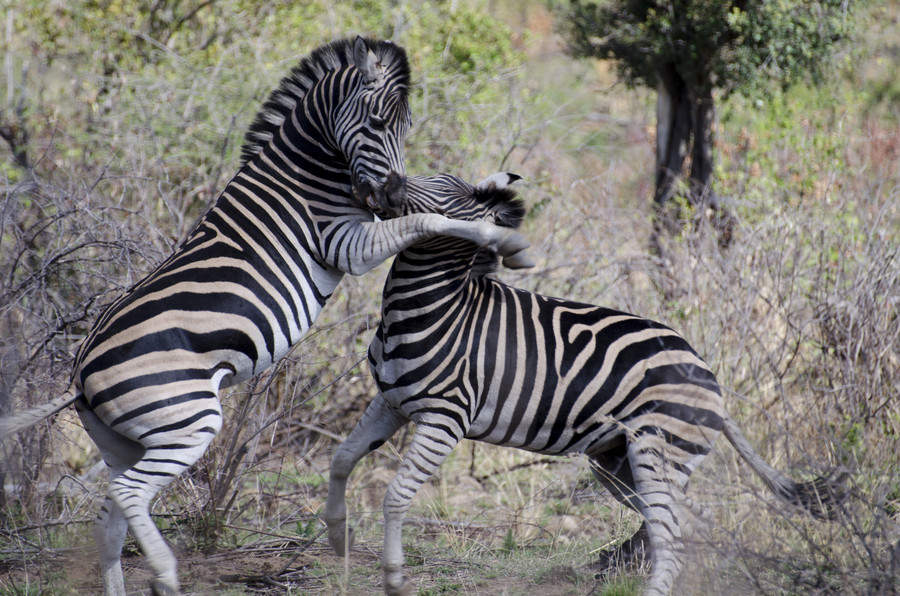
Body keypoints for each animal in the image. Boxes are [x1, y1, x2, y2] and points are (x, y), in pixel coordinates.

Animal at [0, 38, 536, 596]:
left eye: (404, 125)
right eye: (374, 121)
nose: (388, 196)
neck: (312, 172)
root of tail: (79, 376)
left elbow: (425, 220)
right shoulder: (346, 244)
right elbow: (428, 219)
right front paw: (507, 242)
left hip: (126, 441)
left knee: (109, 518)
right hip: (186, 419)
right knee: (129, 496)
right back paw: (166, 571)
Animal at [324, 172, 844, 596]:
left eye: (443, 193)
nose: (381, 184)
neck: (429, 308)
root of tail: (706, 372)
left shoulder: (444, 418)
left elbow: (396, 496)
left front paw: (393, 577)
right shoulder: (390, 402)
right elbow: (343, 459)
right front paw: (338, 536)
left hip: (654, 453)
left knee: (672, 536)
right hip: (618, 463)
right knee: (693, 524)